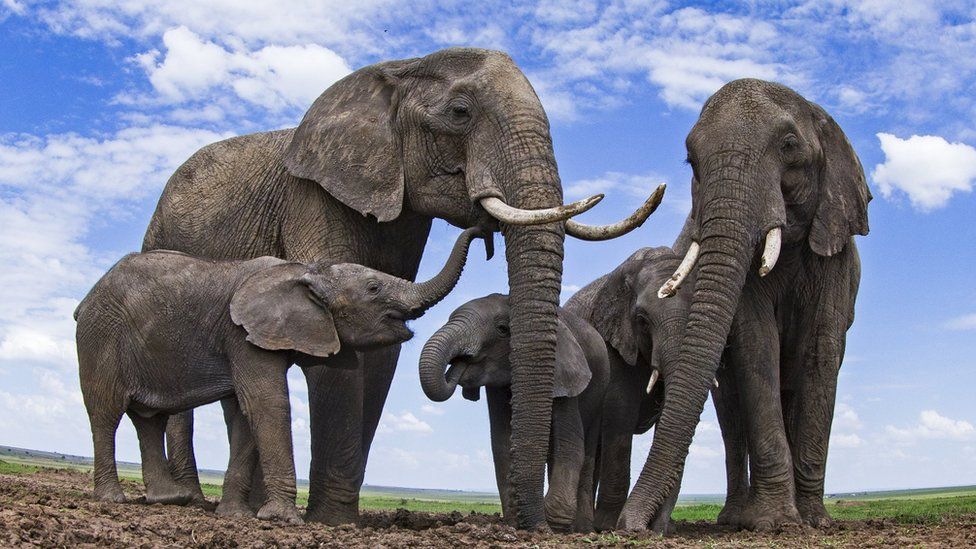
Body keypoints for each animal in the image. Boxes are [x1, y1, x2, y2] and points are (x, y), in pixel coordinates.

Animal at [74, 228, 482, 523]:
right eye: (373, 288)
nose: (482, 232)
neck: (307, 271)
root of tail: (87, 299)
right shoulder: (241, 334)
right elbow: (268, 404)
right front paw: (282, 519)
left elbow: (245, 414)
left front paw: (237, 517)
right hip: (100, 336)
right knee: (105, 413)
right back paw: (113, 498)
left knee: (149, 418)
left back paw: (167, 499)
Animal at [418, 294, 609, 532]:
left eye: (502, 329)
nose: (458, 366)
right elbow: (502, 443)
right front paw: (515, 523)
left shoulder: (565, 373)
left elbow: (570, 444)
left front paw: (554, 525)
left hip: (600, 392)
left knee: (587, 448)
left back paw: (582, 530)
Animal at [564, 246, 692, 533]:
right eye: (642, 320)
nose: (648, 529)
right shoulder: (612, 342)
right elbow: (620, 409)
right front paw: (608, 526)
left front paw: (662, 529)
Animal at [618, 79, 870, 531]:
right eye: (691, 161)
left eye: (789, 145)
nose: (630, 528)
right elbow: (757, 346)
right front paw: (775, 523)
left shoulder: (835, 250)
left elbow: (820, 352)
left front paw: (814, 522)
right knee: (732, 417)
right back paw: (735, 518)